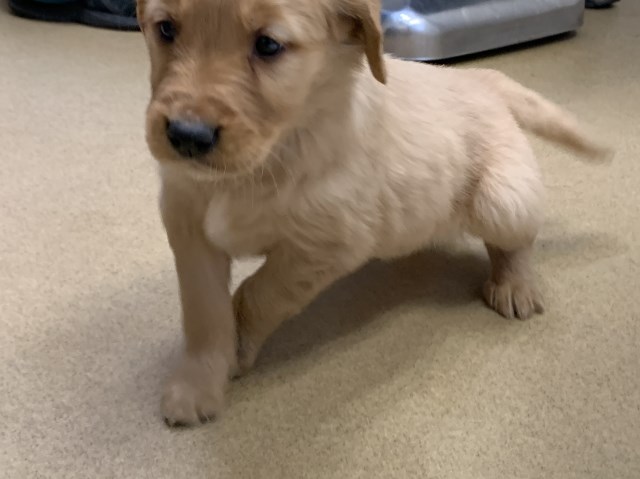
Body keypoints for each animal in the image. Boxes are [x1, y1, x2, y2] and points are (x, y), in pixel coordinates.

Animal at [136, 0, 608, 428]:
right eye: (166, 29)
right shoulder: (186, 224)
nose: (187, 135)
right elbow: (203, 311)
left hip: (502, 200)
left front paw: (238, 346)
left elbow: (258, 295)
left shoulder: (329, 242)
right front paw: (198, 383)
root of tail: (476, 77)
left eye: (268, 45)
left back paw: (514, 284)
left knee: (518, 239)